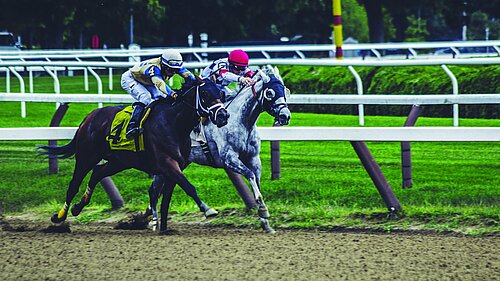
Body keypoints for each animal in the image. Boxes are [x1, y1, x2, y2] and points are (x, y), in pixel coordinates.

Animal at [38, 77, 229, 231]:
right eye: (204, 93)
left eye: (221, 92)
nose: (223, 115)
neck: (174, 123)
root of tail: (89, 117)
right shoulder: (168, 163)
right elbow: (188, 187)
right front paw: (208, 209)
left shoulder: (176, 166)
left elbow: (166, 198)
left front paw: (163, 228)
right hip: (86, 157)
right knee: (73, 186)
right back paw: (59, 216)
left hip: (119, 161)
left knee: (97, 173)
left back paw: (78, 207)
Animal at [146, 67, 292, 232]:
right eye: (270, 93)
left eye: (285, 90)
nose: (285, 116)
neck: (241, 121)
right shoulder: (229, 158)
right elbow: (250, 175)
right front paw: (263, 210)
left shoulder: (254, 158)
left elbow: (257, 182)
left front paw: (265, 222)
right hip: (166, 161)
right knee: (154, 191)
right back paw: (153, 222)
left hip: (179, 164)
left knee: (157, 190)